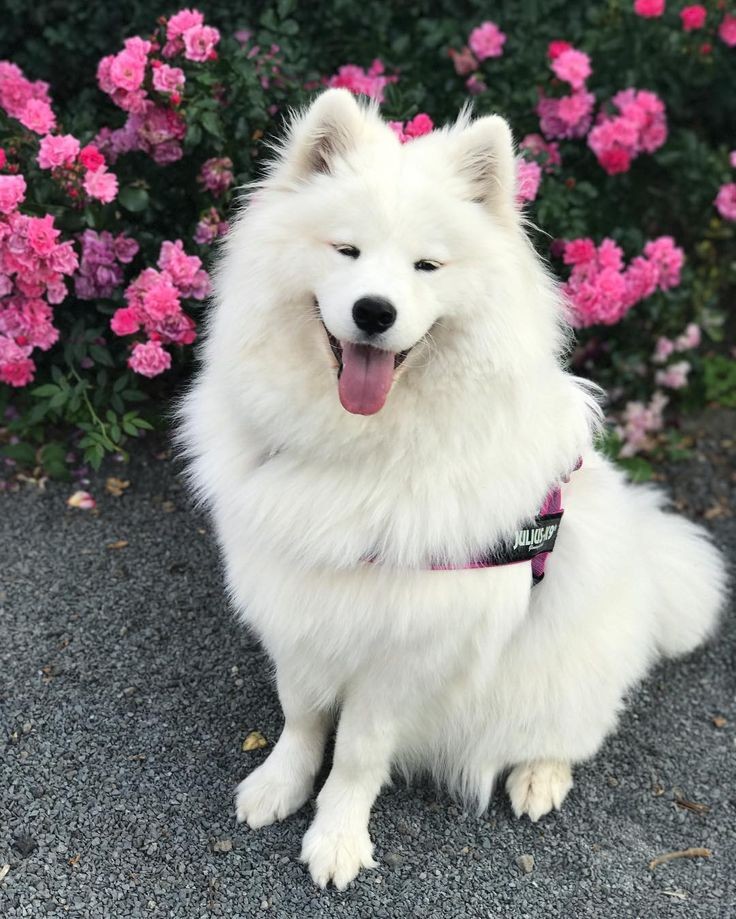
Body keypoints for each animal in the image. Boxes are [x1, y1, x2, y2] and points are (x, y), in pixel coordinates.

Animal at [178, 91, 724, 892]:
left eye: (426, 265)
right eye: (346, 251)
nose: (374, 311)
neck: (362, 452)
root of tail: (650, 571)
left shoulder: (408, 647)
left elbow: (357, 754)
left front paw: (336, 837)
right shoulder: (297, 604)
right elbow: (302, 715)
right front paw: (280, 784)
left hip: (562, 678)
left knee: (568, 735)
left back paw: (539, 778)